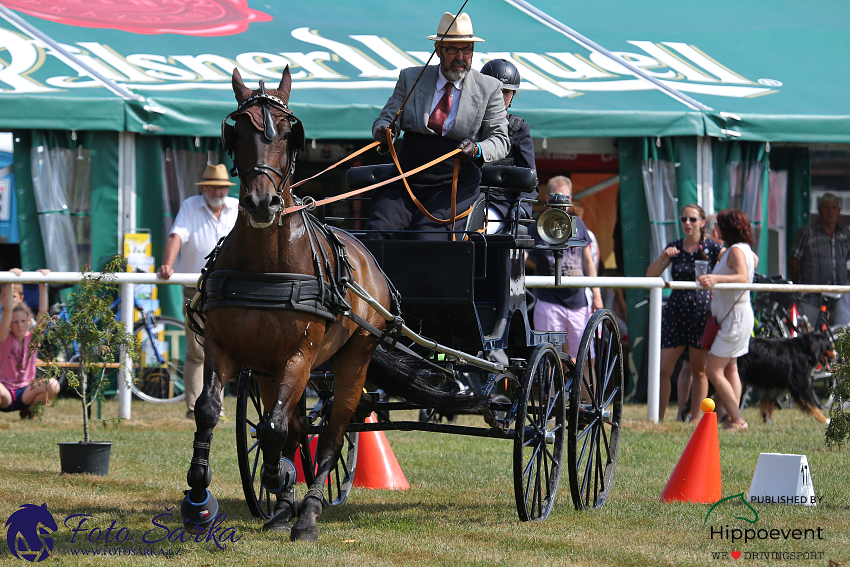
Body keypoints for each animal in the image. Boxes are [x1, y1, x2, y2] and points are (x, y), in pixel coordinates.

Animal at [181, 66, 480, 540]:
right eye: (238, 130)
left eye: (289, 133)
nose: (262, 203)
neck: (268, 265)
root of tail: (368, 257)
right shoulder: (225, 346)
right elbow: (212, 411)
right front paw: (198, 493)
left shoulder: (300, 356)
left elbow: (275, 428)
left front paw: (279, 480)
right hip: (270, 368)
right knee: (299, 425)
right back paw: (284, 508)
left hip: (352, 360)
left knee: (334, 432)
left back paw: (307, 512)